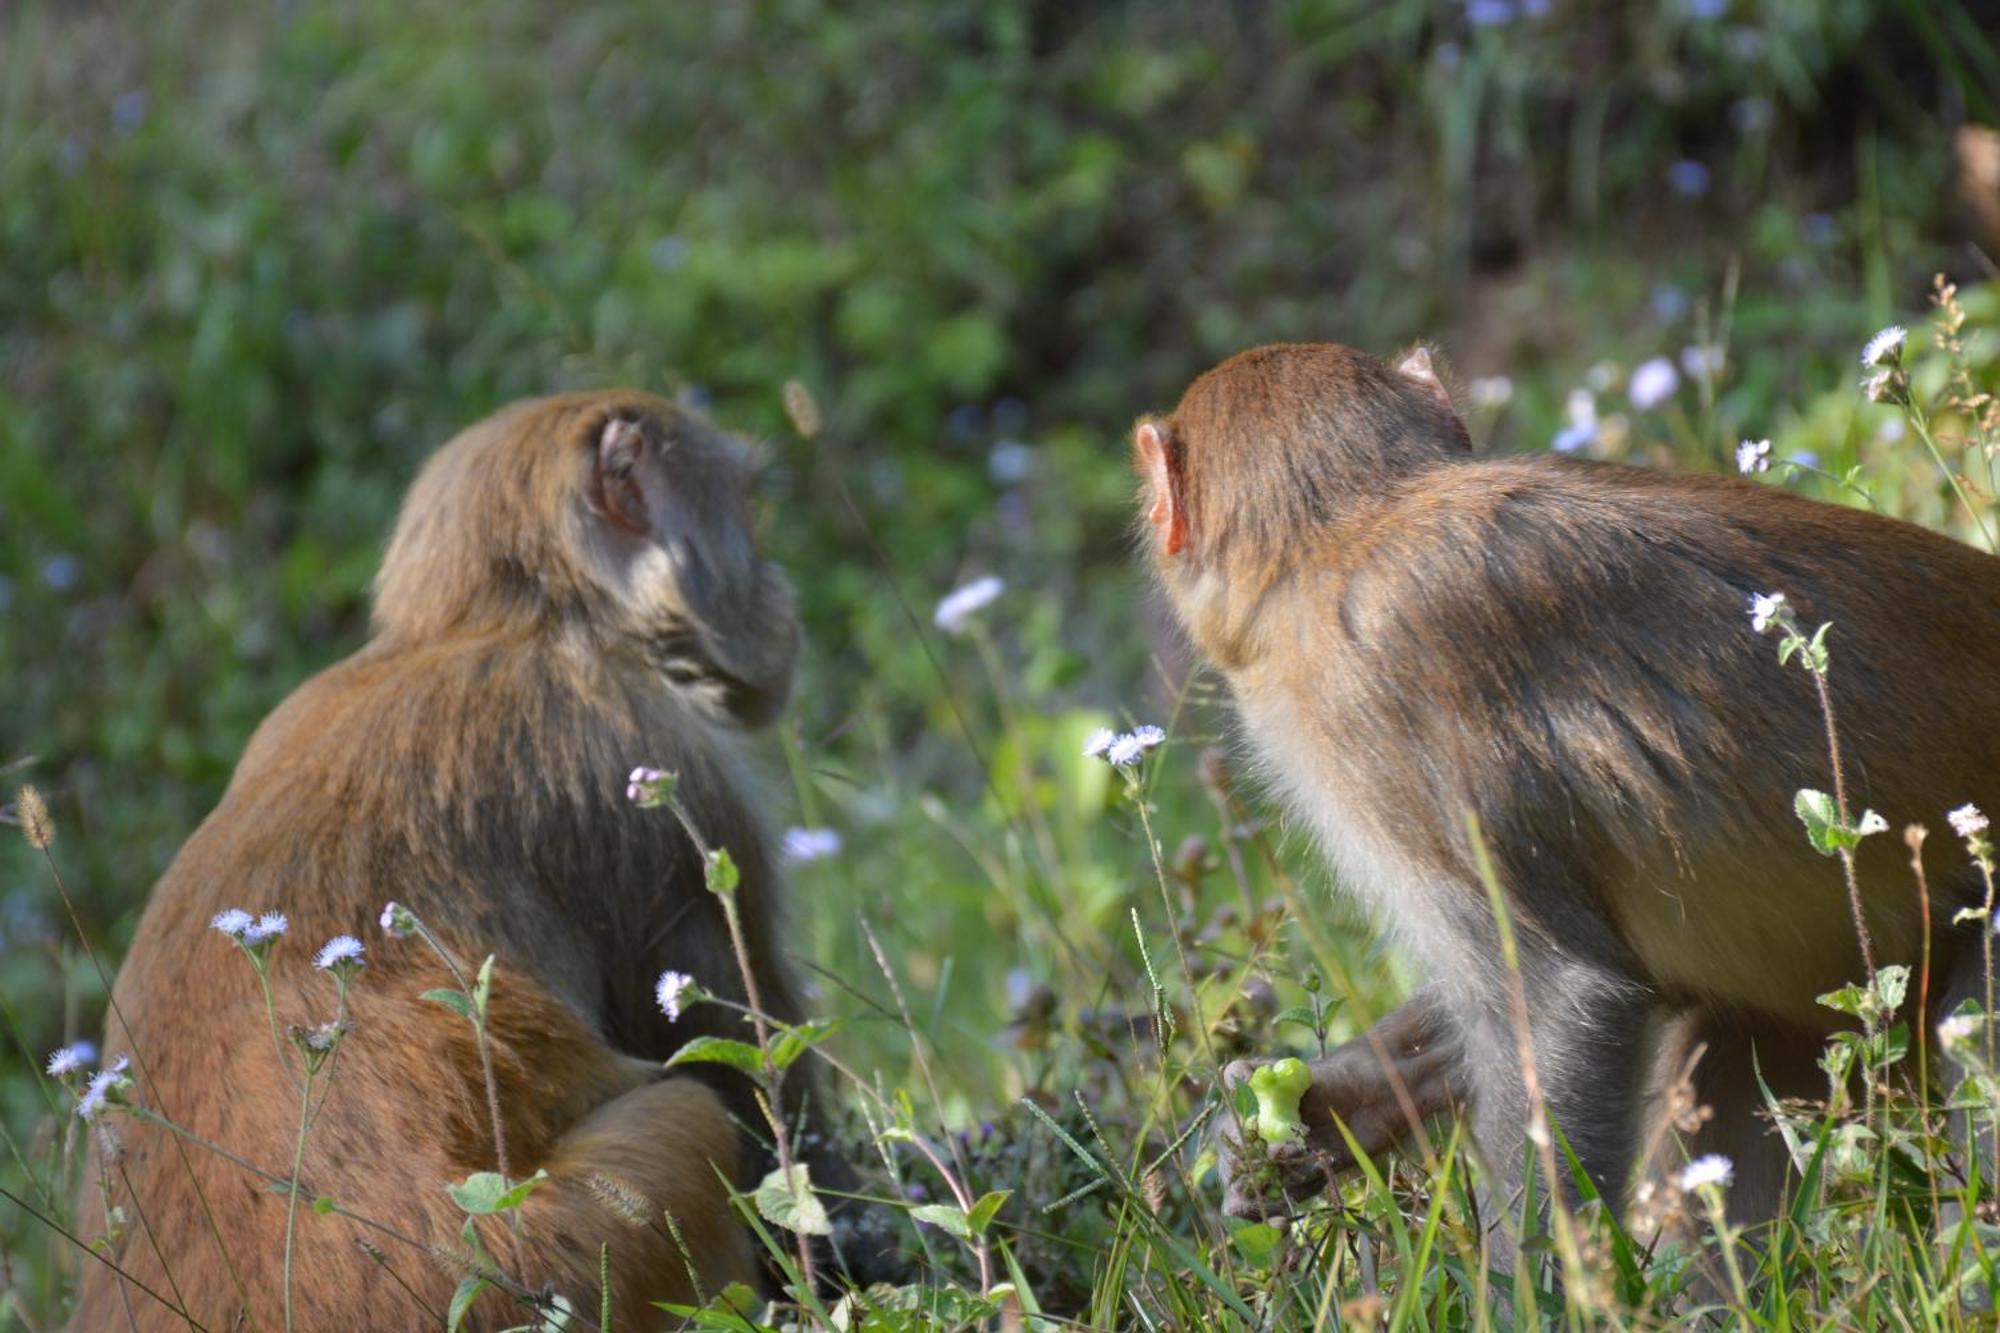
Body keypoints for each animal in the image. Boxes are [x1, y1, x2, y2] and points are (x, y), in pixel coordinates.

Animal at [74, 390, 840, 1320]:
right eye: (746, 511)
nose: (779, 593)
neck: (505, 618)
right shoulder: (660, 763)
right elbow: (754, 1078)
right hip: (574, 1260)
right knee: (691, 1117)